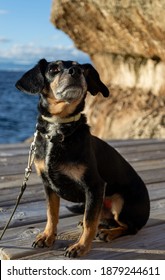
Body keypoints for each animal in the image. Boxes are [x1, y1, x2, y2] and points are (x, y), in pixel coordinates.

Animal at [15, 59, 150, 258]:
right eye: (54, 68)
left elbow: (89, 222)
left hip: (119, 202)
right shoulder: (49, 186)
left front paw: (80, 246)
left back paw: (108, 233)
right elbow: (51, 214)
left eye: (81, 69)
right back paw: (103, 225)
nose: (75, 71)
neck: (58, 129)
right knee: (103, 217)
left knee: (128, 227)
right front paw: (47, 236)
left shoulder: (94, 186)